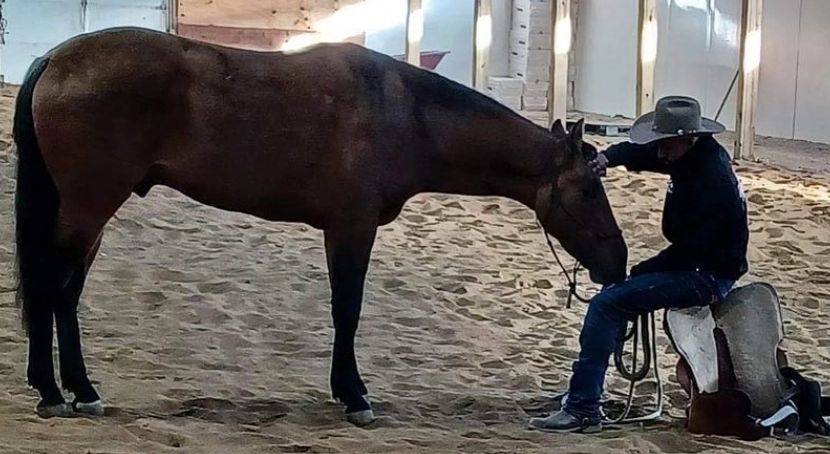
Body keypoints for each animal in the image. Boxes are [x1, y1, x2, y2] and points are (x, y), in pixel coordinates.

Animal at [13, 27, 627, 424]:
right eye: (589, 188)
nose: (619, 261)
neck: (404, 113)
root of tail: (57, 59)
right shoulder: (352, 227)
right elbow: (347, 309)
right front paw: (355, 397)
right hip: (89, 206)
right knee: (53, 289)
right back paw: (59, 391)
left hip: (89, 213)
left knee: (64, 294)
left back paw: (74, 389)